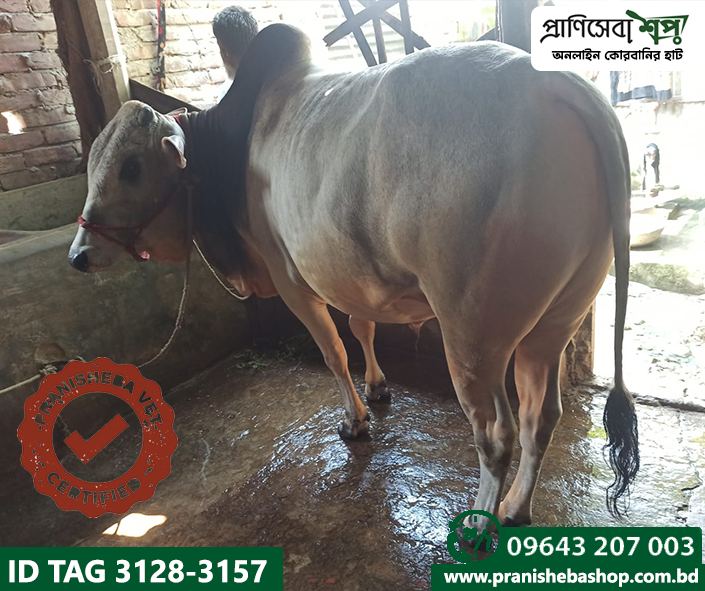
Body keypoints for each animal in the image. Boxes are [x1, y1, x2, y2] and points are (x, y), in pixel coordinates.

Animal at [68, 24, 638, 529]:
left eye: (132, 167)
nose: (79, 254)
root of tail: (555, 81)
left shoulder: (292, 280)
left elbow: (333, 352)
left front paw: (356, 420)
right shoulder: (347, 274)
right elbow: (362, 328)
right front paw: (378, 387)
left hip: (473, 335)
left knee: (496, 432)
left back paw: (479, 524)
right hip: (556, 321)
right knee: (540, 417)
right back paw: (516, 508)